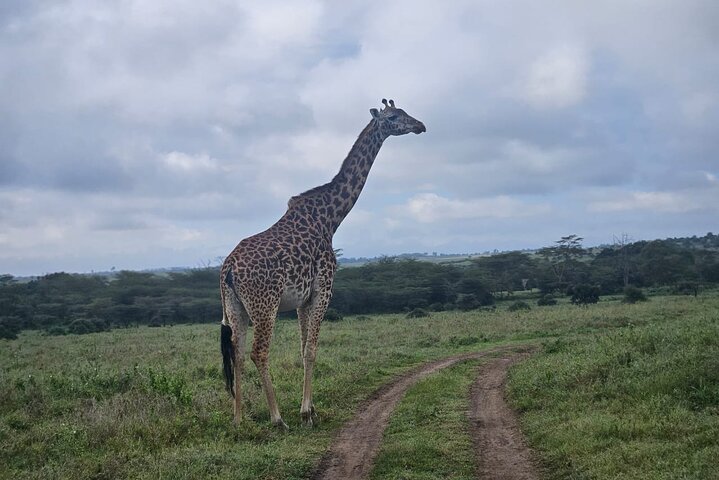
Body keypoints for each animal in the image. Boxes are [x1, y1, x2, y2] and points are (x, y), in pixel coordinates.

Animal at [219, 99, 426, 429]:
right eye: (394, 117)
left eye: (406, 112)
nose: (420, 125)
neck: (330, 218)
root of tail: (228, 270)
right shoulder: (323, 291)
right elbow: (312, 350)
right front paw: (305, 413)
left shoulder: (303, 299)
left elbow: (303, 348)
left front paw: (311, 409)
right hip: (265, 305)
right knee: (258, 353)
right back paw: (277, 419)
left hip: (234, 306)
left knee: (237, 353)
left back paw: (238, 419)